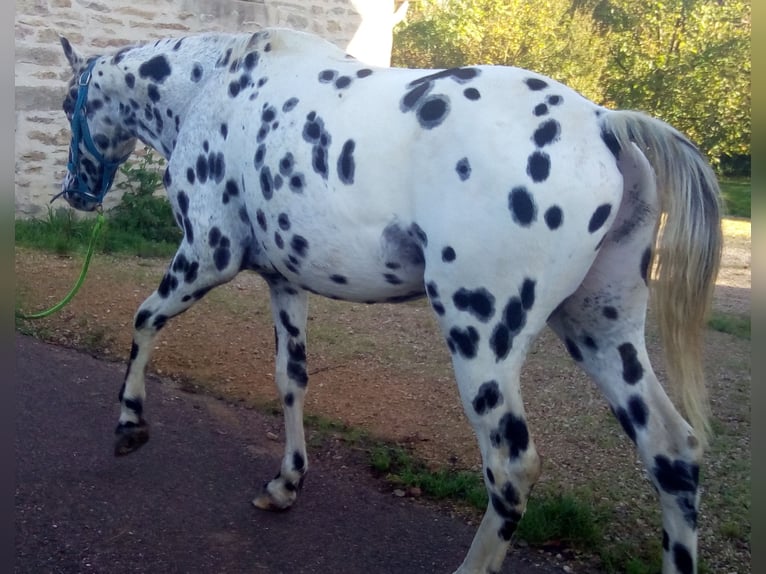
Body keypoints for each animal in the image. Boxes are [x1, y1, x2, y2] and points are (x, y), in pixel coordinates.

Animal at [57, 27, 724, 574]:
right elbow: (291, 379)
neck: (213, 86)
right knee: (672, 452)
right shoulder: (284, 282)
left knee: (511, 468)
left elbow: (144, 320)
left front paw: (129, 425)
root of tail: (604, 123)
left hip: (481, 339)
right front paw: (286, 483)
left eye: (68, 105)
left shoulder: (206, 254)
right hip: (601, 331)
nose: (77, 193)